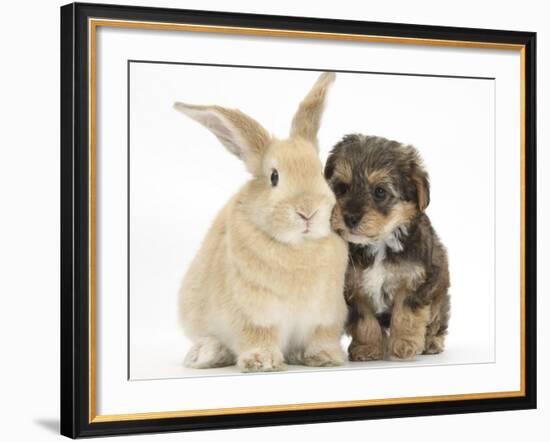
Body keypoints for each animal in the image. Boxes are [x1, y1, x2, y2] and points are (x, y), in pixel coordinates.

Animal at [176, 72, 350, 372]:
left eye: (320, 172)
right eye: (274, 176)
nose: (308, 211)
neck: (299, 247)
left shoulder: (326, 315)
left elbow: (321, 337)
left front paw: (325, 357)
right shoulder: (254, 313)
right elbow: (258, 334)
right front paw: (262, 361)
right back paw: (206, 354)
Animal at [326, 136, 450, 362]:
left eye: (380, 192)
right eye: (342, 188)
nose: (350, 218)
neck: (379, 242)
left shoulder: (415, 281)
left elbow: (407, 314)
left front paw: (405, 344)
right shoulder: (353, 288)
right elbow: (364, 320)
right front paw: (367, 347)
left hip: (439, 294)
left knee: (437, 320)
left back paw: (431, 342)